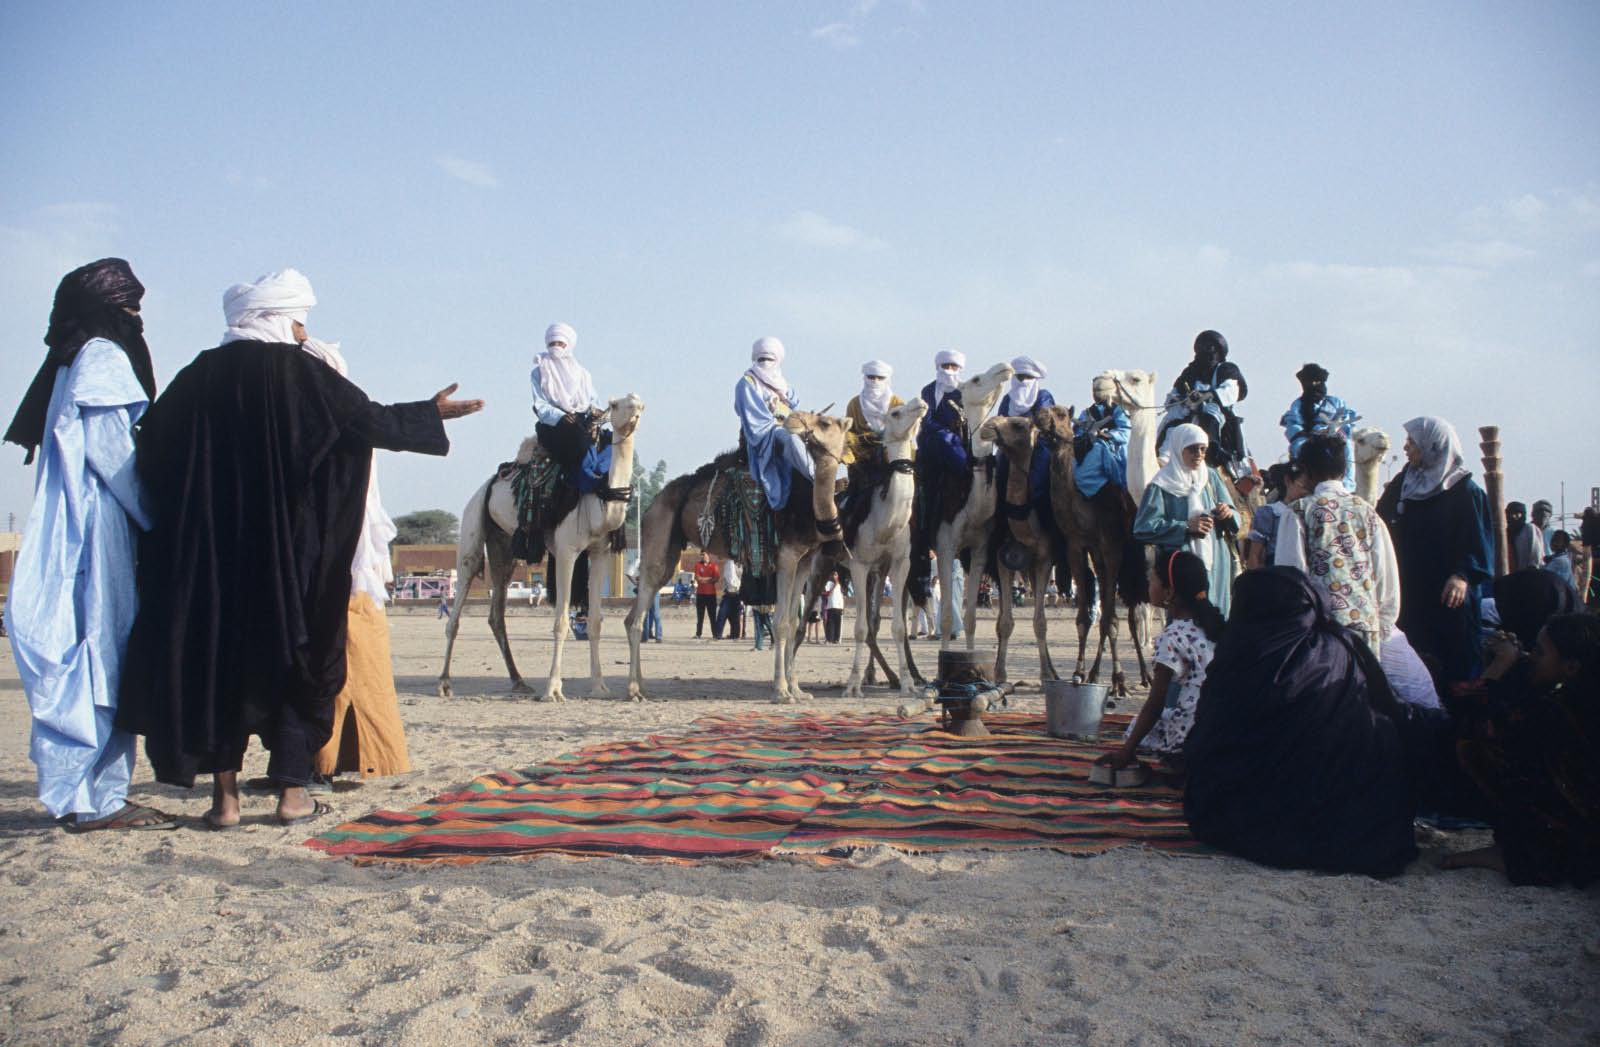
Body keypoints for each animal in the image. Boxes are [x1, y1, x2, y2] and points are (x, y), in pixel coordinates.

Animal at [438, 393, 643, 704]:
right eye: (617, 405)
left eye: (638, 402)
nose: (636, 412)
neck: (598, 498)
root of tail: (488, 483)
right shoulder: (567, 550)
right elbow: (561, 622)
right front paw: (553, 690)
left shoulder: (599, 553)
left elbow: (595, 621)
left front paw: (599, 686)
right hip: (472, 524)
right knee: (461, 597)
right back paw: (445, 683)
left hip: (503, 547)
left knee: (497, 612)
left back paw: (519, 681)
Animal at [838, 398, 928, 701]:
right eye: (896, 413)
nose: (921, 403)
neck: (885, 521)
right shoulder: (858, 564)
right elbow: (858, 628)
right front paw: (852, 686)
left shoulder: (900, 563)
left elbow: (896, 627)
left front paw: (908, 684)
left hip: (878, 572)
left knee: (874, 621)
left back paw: (881, 676)